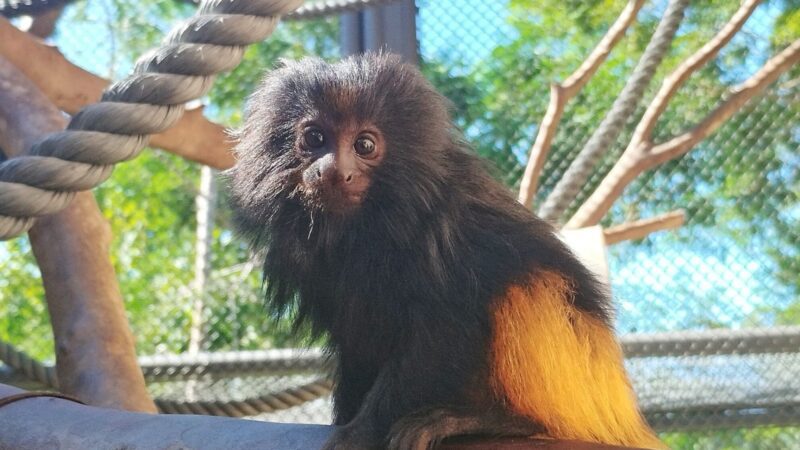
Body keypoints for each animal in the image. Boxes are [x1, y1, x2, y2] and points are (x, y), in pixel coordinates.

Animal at [228, 53, 664, 450]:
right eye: (315, 138)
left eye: (365, 145)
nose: (336, 171)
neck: (366, 229)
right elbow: (355, 339)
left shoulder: (443, 231)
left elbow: (443, 331)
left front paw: (361, 432)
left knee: (528, 283)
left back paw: (503, 422)